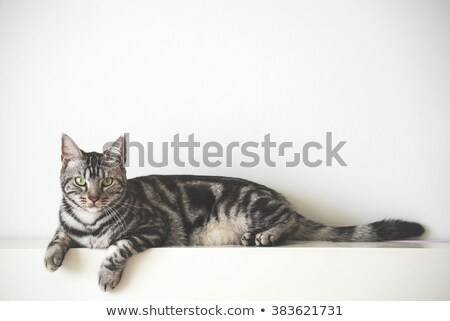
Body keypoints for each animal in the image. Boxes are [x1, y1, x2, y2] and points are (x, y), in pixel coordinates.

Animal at [44, 132, 426, 290]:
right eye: (81, 181)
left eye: (108, 182)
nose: (94, 199)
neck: (91, 223)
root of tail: (278, 196)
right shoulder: (68, 224)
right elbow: (59, 233)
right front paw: (52, 256)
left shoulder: (153, 227)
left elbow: (118, 246)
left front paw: (107, 272)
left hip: (246, 205)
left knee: (289, 222)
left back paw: (267, 235)